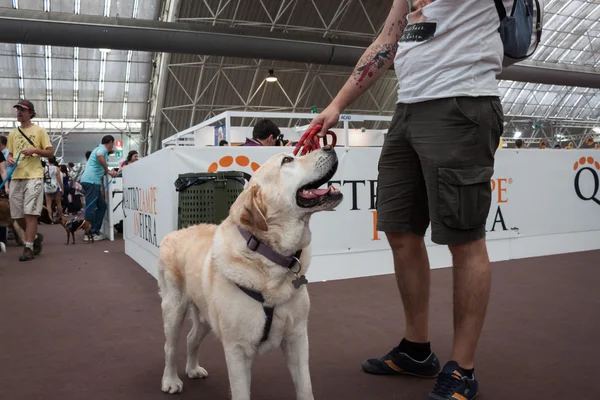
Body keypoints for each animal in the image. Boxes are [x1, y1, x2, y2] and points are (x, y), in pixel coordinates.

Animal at [156, 145, 342, 398]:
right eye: (287, 160)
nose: (329, 146)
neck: (269, 256)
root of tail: (176, 232)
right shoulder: (237, 350)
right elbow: (241, 392)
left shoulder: (297, 338)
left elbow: (305, 388)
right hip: (174, 308)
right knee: (170, 346)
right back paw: (170, 380)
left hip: (205, 315)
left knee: (191, 338)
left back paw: (193, 368)